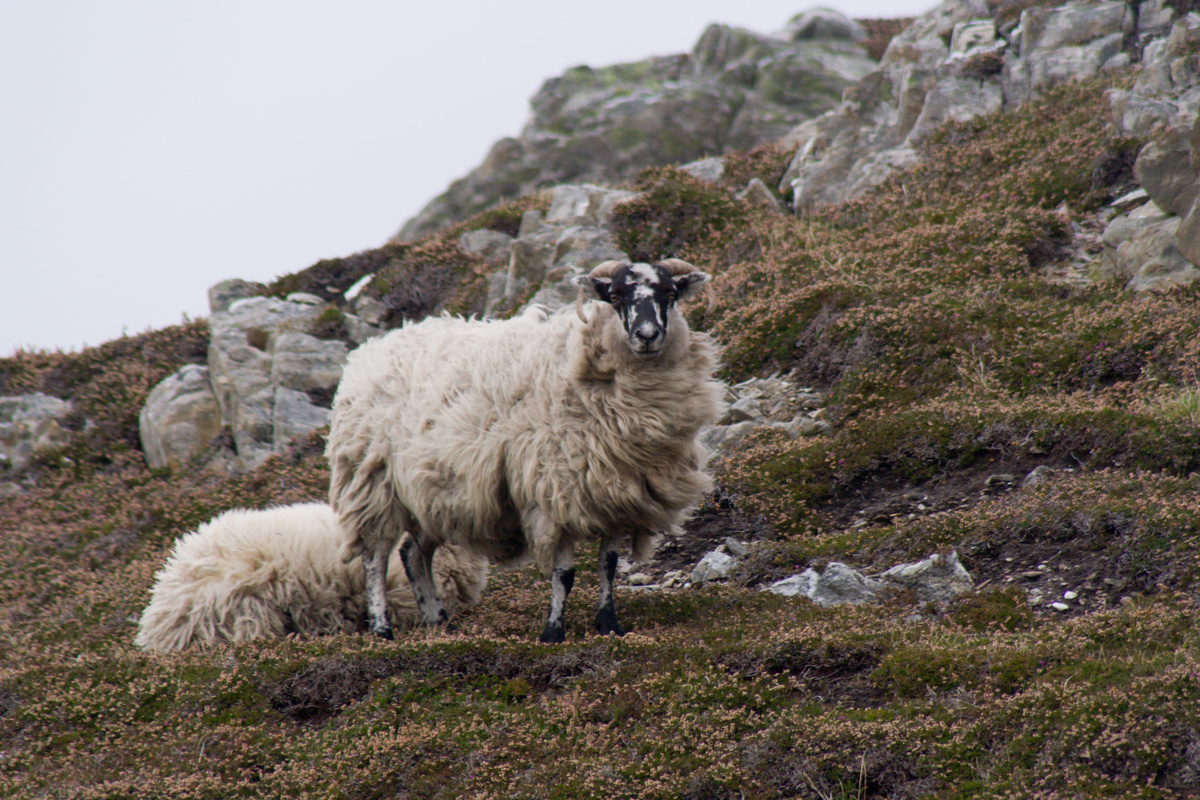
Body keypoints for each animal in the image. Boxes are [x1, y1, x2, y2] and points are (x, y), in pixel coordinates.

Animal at [328, 257, 720, 642]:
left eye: (670, 293)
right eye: (615, 296)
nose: (647, 336)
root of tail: (369, 351)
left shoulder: (614, 493)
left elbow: (607, 566)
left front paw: (609, 624)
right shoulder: (553, 492)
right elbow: (564, 573)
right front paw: (553, 632)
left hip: (433, 491)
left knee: (412, 554)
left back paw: (440, 622)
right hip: (372, 481)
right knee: (375, 557)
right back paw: (382, 628)